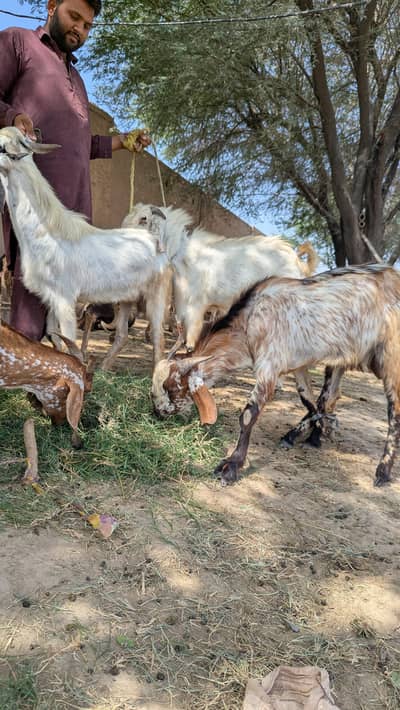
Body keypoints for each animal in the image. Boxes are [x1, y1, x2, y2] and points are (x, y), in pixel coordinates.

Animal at [126, 203, 319, 352]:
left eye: (144, 218)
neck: (182, 252)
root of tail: (297, 261)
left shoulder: (196, 306)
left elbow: (190, 340)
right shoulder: (181, 303)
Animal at [151, 264, 400, 487]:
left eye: (171, 388)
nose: (157, 413)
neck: (249, 322)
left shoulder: (269, 366)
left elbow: (248, 415)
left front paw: (231, 466)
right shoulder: (298, 365)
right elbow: (309, 400)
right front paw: (313, 432)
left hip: (390, 359)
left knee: (394, 410)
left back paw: (383, 471)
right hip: (341, 358)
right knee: (330, 396)